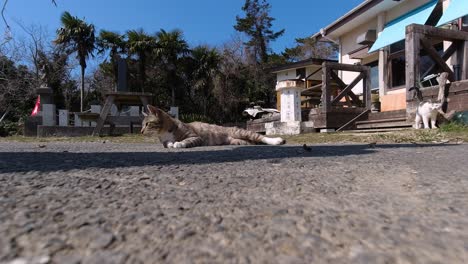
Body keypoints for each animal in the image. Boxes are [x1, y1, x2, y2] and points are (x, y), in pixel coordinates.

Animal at [139, 105, 286, 148]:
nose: (140, 131)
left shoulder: (195, 137)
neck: (163, 133)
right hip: (237, 141)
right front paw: (171, 144)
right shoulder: (164, 141)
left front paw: (178, 143)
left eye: (147, 124)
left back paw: (277, 141)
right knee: (252, 142)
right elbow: (167, 143)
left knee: (261, 137)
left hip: (241, 132)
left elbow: (186, 140)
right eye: (142, 125)